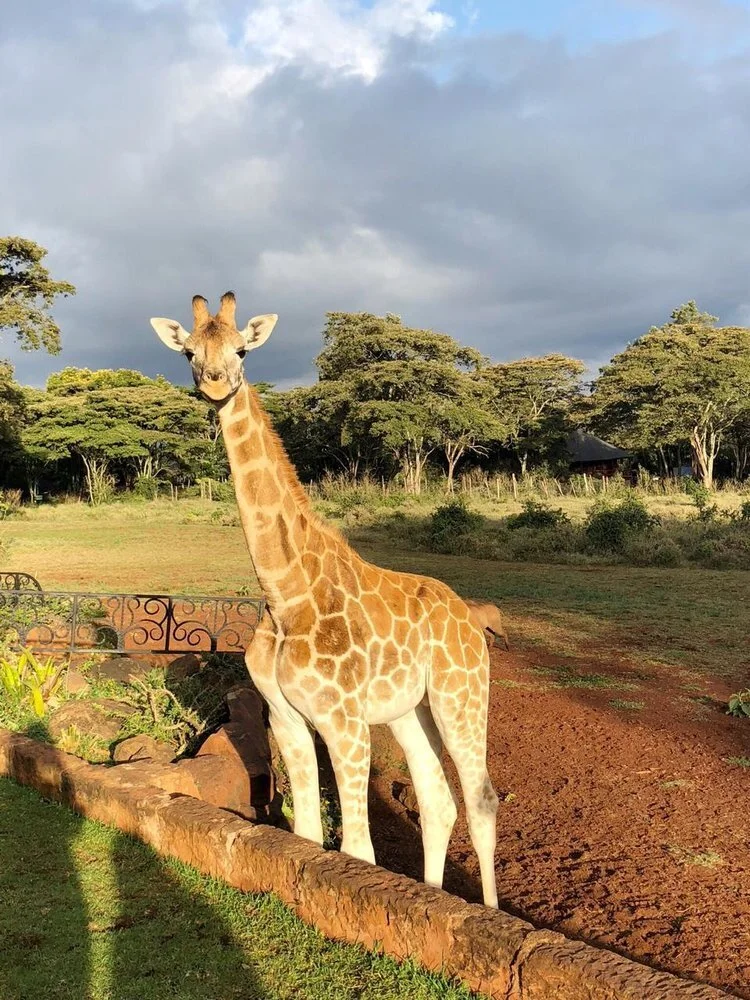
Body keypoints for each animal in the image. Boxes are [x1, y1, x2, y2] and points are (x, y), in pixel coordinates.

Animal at [151, 292, 499, 907]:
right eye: (189, 352)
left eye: (242, 349)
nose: (216, 383)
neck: (284, 593)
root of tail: (470, 615)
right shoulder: (286, 716)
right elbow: (307, 836)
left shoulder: (343, 720)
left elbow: (357, 852)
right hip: (411, 711)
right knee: (437, 801)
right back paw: (432, 896)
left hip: (461, 696)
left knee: (481, 800)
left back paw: (490, 909)